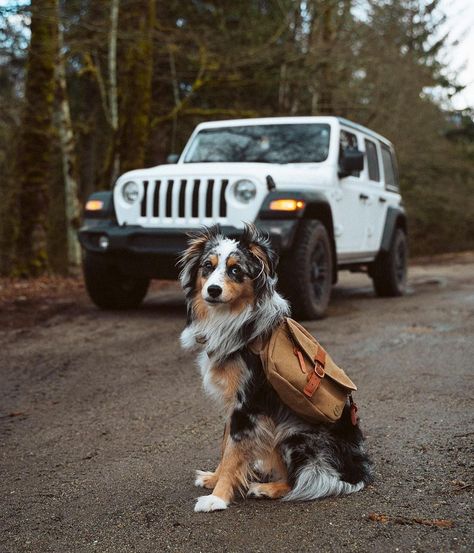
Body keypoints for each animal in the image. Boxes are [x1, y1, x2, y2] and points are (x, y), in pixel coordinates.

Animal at [180, 222, 372, 512]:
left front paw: (218, 497)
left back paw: (267, 488)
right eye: (207, 266)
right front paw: (214, 479)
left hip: (291, 434)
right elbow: (226, 446)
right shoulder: (235, 406)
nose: (213, 290)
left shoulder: (247, 403)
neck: (232, 319)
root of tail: (355, 471)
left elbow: (233, 452)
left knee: (302, 482)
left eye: (235, 270)